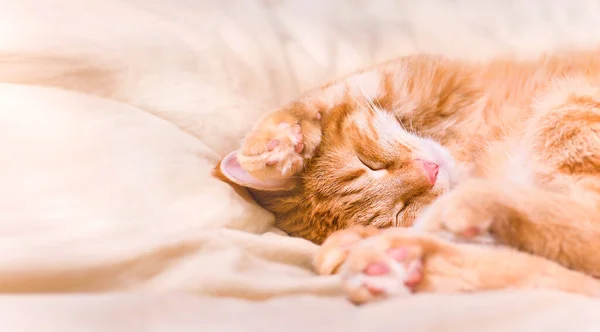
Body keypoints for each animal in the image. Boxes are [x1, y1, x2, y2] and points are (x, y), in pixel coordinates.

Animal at [217, 48, 600, 304]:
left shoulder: (418, 74)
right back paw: (393, 263)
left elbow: (324, 96)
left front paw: (275, 144)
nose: (430, 172)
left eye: (369, 164)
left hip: (568, 104)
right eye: (400, 211)